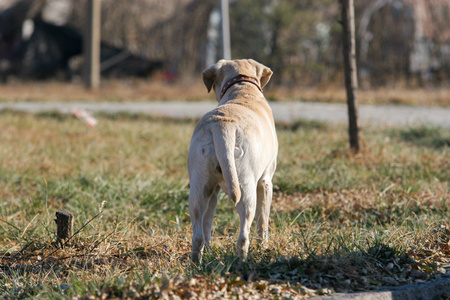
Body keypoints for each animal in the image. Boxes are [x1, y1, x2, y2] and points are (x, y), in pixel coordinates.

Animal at [187, 59, 278, 262]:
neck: (242, 88)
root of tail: (222, 125)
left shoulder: (213, 192)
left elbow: (208, 226)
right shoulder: (265, 182)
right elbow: (263, 222)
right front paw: (264, 247)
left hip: (199, 190)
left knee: (198, 235)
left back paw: (197, 263)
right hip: (246, 189)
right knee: (243, 236)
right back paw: (242, 262)